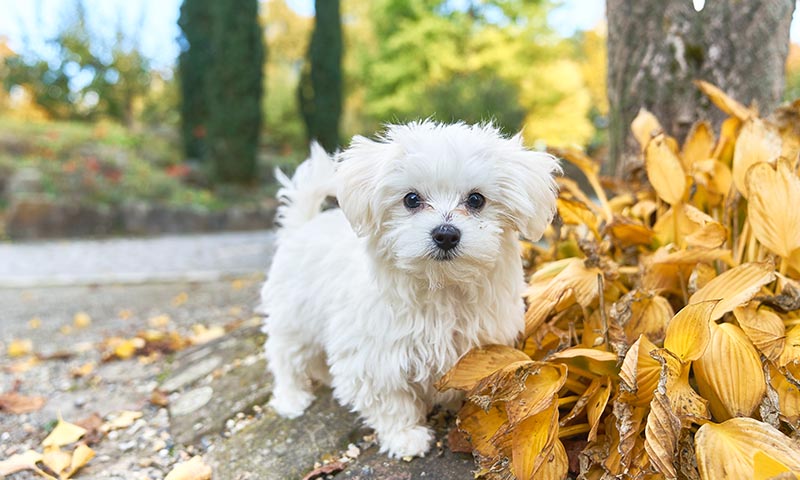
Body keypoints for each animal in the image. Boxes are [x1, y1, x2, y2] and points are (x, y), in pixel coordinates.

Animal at [260, 121, 560, 458]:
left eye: (476, 200)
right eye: (412, 199)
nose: (446, 234)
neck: (440, 287)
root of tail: (302, 226)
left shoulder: (478, 347)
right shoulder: (374, 357)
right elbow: (390, 400)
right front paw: (405, 436)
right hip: (294, 319)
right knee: (284, 355)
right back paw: (291, 398)